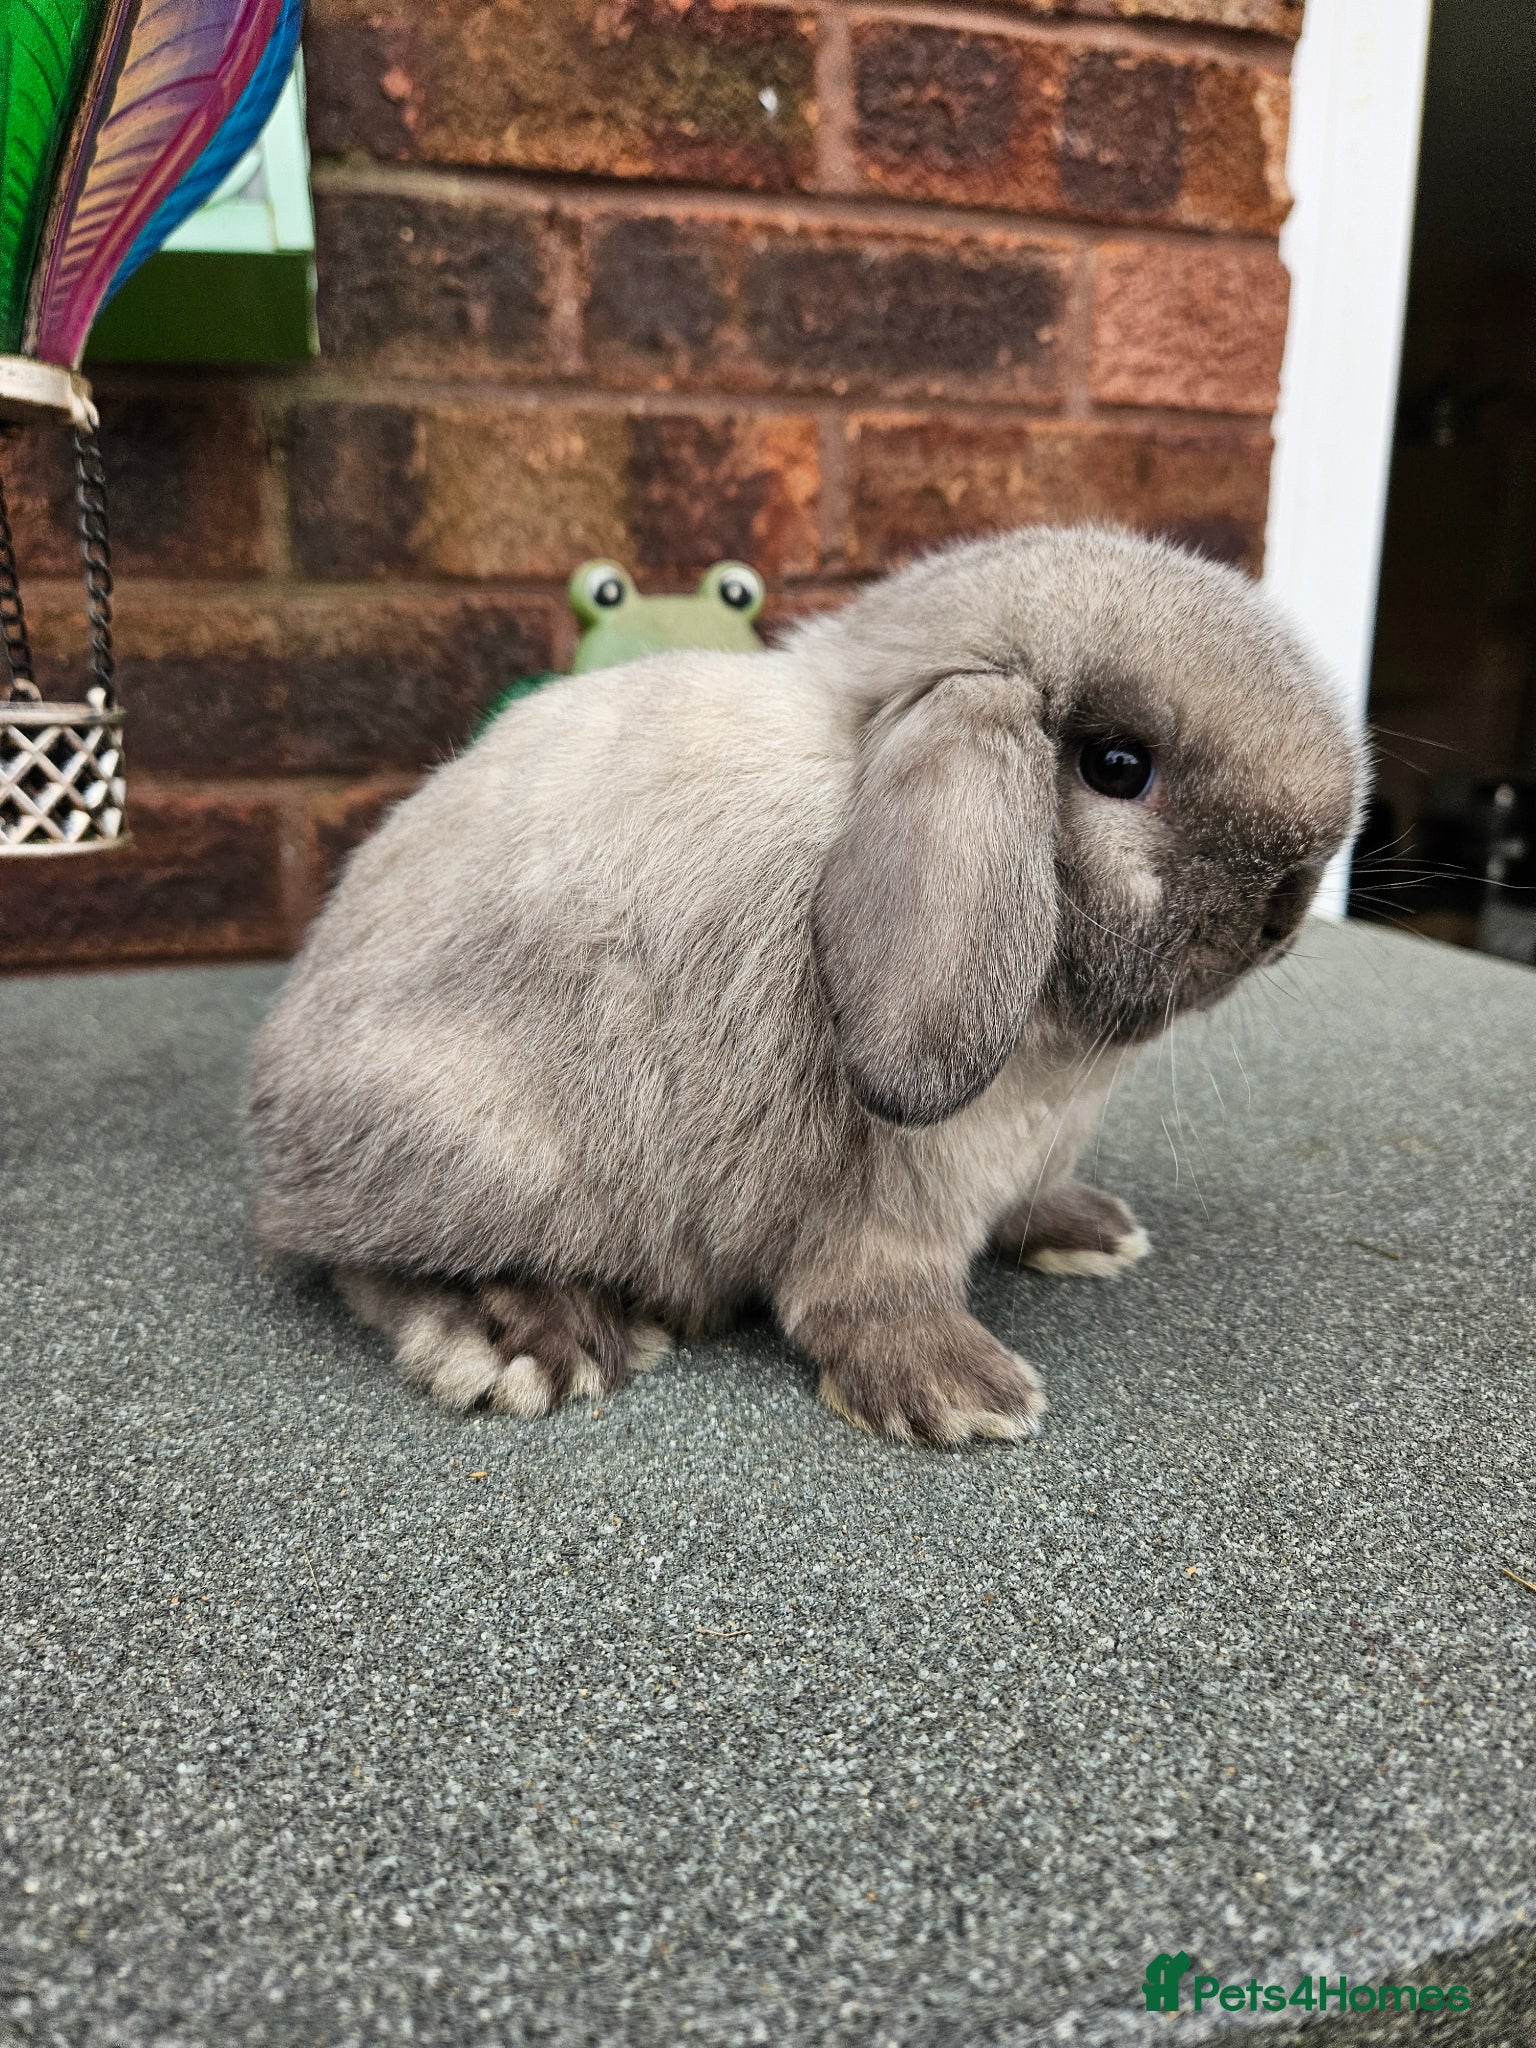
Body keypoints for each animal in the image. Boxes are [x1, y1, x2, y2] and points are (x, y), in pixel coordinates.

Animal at [248, 525, 1364, 1445]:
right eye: (1119, 765)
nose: (1288, 908)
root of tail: (277, 1138)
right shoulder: (884, 1204)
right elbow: (868, 1300)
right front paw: (962, 1393)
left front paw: (1089, 1229)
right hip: (486, 1150)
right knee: (375, 1266)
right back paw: (530, 1340)